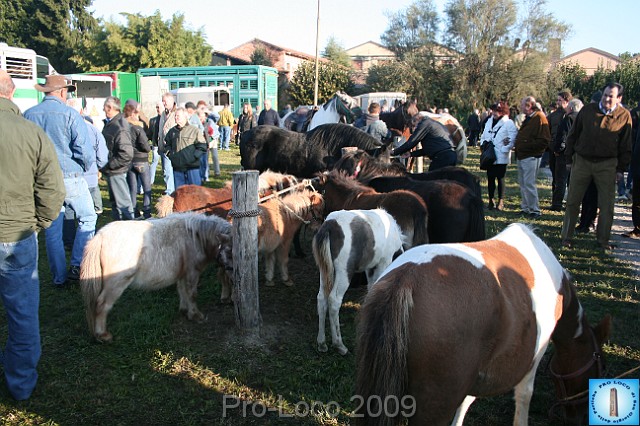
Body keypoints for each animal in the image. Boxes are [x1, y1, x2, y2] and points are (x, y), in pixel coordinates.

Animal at [80, 213, 234, 342]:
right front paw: (196, 315)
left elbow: (182, 291)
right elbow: (192, 294)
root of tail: (101, 236)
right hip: (116, 283)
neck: (195, 237)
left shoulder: (182, 274)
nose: (233, 277)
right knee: (102, 305)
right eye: (230, 251)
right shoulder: (192, 273)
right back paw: (102, 334)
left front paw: (185, 311)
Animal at [356, 225, 608, 424]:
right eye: (598, 367)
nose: (579, 417)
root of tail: (408, 278)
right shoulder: (533, 358)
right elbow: (524, 396)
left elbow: (465, 402)